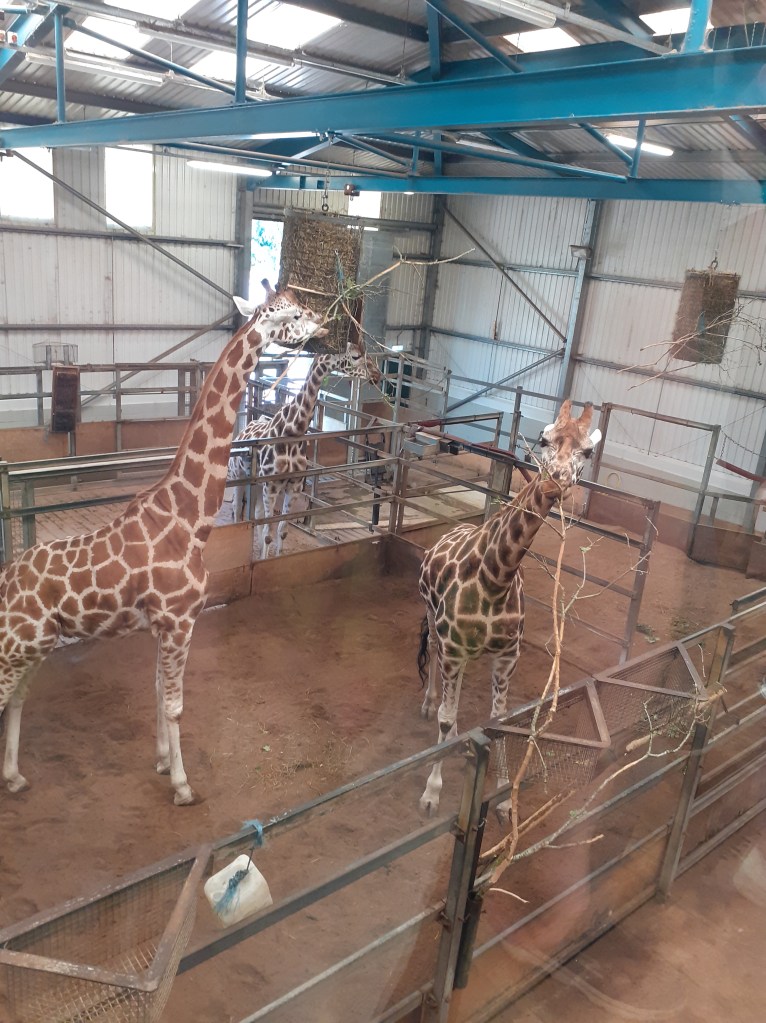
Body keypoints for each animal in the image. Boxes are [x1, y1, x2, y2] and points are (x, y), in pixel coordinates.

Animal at [0, 282, 327, 804]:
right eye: (289, 314)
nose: (324, 323)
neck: (187, 519)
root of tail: (6, 582)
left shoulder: (161, 624)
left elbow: (156, 692)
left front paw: (159, 761)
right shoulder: (180, 620)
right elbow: (174, 705)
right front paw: (182, 784)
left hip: (36, 644)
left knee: (16, 698)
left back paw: (14, 777)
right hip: (18, 643)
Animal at [228, 343, 382, 557]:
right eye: (355, 356)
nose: (377, 375)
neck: (292, 432)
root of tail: (242, 431)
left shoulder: (293, 486)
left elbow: (281, 530)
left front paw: (272, 558)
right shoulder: (271, 486)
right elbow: (268, 532)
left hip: (257, 484)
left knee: (257, 513)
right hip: (238, 475)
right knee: (236, 509)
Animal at [416, 400, 602, 818]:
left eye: (588, 452)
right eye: (543, 439)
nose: (554, 481)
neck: (496, 578)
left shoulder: (506, 656)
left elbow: (499, 720)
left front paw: (502, 795)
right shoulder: (453, 649)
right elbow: (446, 717)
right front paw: (431, 793)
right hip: (433, 620)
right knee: (434, 661)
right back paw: (429, 704)